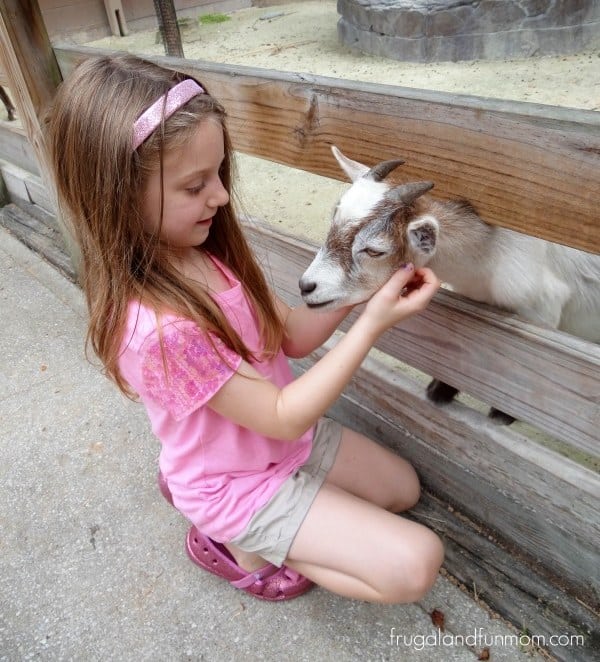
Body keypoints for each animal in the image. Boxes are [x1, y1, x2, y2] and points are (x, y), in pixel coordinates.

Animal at [300, 147, 600, 426]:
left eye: (374, 250)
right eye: (333, 222)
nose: (306, 286)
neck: (487, 256)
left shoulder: (541, 312)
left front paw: (502, 414)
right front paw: (440, 390)